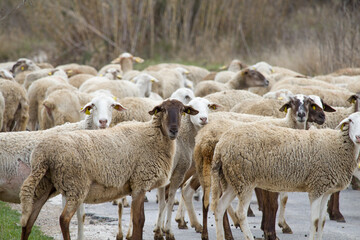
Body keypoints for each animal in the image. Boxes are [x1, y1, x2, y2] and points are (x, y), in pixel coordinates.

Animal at [0, 93, 126, 240]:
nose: (103, 121)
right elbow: (75, 216)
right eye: (93, 105)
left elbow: (80, 215)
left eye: (112, 105)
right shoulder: (72, 183)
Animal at [153, 97, 219, 240]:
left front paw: (160, 230)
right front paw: (166, 231)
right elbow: (169, 200)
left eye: (208, 106)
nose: (203, 119)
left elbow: (164, 201)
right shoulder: (179, 171)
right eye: (193, 106)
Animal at [211, 112, 360, 240]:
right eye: (350, 121)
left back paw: (220, 236)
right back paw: (249, 236)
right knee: (240, 213)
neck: (339, 145)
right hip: (244, 180)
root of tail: (220, 145)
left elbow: (322, 221)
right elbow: (315, 220)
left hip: (233, 180)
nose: (358, 137)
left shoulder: (326, 190)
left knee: (219, 207)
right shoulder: (316, 187)